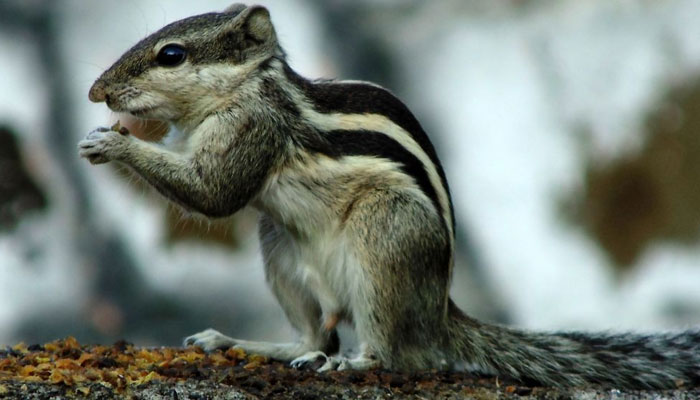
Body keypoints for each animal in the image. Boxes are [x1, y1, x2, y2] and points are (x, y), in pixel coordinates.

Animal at [78, 3, 700, 390]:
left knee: (394, 355)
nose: (95, 92)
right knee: (317, 336)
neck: (247, 89)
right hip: (280, 249)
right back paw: (245, 344)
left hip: (384, 238)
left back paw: (353, 366)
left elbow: (213, 193)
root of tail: (437, 311)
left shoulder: (253, 132)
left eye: (172, 55)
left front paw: (112, 143)